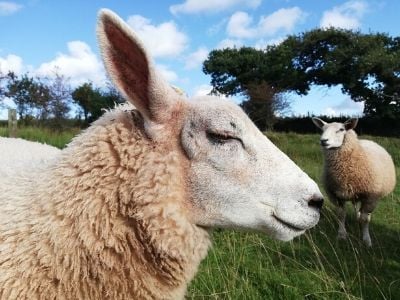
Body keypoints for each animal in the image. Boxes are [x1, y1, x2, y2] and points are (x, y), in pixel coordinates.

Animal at [310, 117, 396, 246]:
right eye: (323, 129)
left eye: (341, 129)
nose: (323, 141)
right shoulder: (336, 195)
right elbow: (341, 215)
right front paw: (341, 235)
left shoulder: (371, 197)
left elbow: (365, 219)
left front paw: (366, 240)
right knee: (357, 206)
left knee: (365, 213)